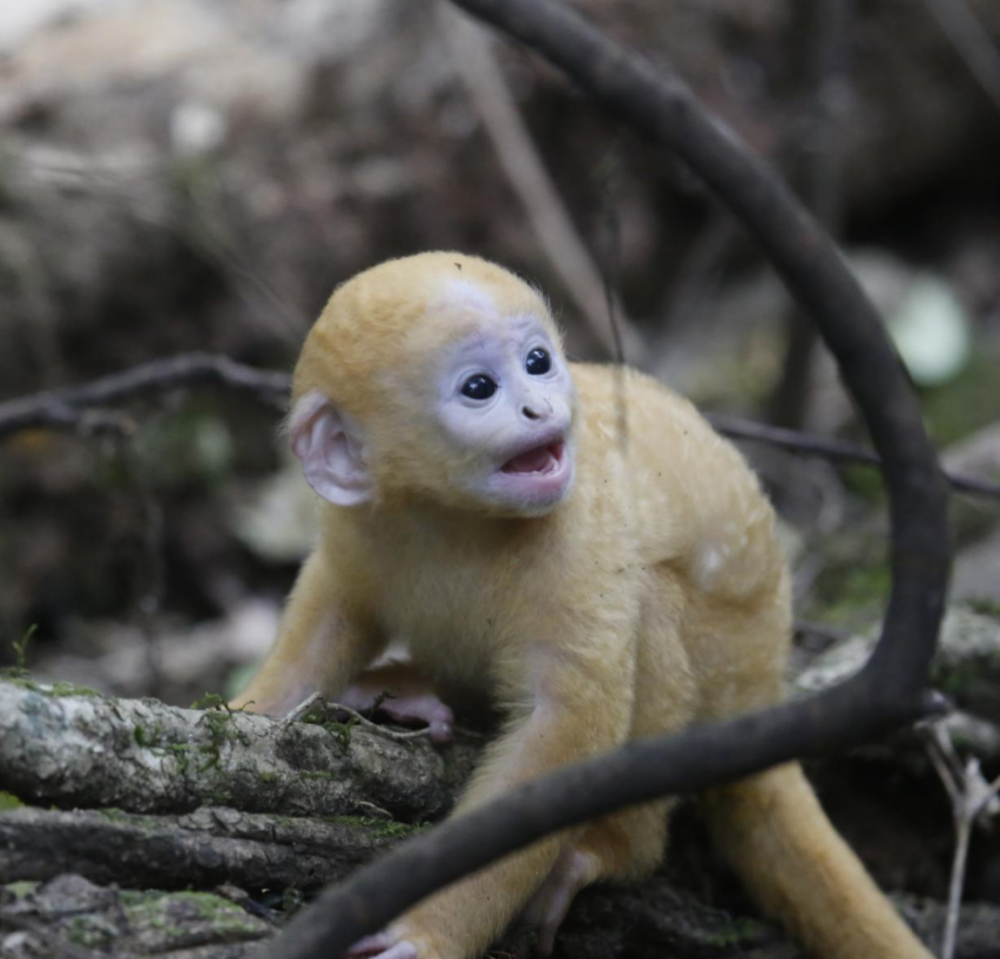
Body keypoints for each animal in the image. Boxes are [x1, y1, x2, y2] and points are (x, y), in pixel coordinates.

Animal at [232, 253, 928, 959]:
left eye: (538, 361)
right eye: (479, 387)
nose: (540, 407)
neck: (449, 520)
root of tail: (764, 688)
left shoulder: (572, 536)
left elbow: (566, 725)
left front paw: (427, 933)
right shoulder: (357, 526)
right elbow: (328, 618)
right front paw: (246, 711)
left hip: (726, 663)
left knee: (650, 609)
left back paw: (613, 849)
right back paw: (407, 694)